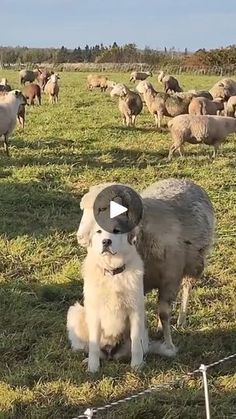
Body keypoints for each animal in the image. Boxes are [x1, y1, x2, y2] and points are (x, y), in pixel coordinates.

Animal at [66, 225, 148, 372]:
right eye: (99, 231)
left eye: (116, 231)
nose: (106, 242)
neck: (112, 273)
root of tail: (110, 353)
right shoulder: (94, 313)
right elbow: (93, 345)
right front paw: (93, 368)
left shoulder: (136, 311)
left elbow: (135, 342)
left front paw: (137, 366)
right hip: (75, 312)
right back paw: (87, 360)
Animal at [76, 180, 215, 358]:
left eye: (103, 208)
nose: (80, 237)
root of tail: (184, 180)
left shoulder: (170, 279)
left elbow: (164, 314)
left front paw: (169, 346)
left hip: (194, 264)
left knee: (186, 289)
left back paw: (181, 319)